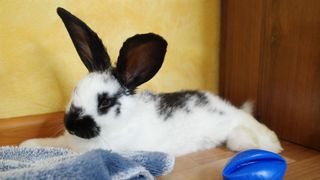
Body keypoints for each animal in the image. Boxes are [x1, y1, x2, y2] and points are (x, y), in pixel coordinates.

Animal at [19, 7, 282, 156]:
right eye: (75, 90)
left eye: (104, 103)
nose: (72, 125)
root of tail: (236, 111)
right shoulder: (67, 141)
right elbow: (54, 144)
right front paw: (27, 145)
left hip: (238, 135)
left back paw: (272, 146)